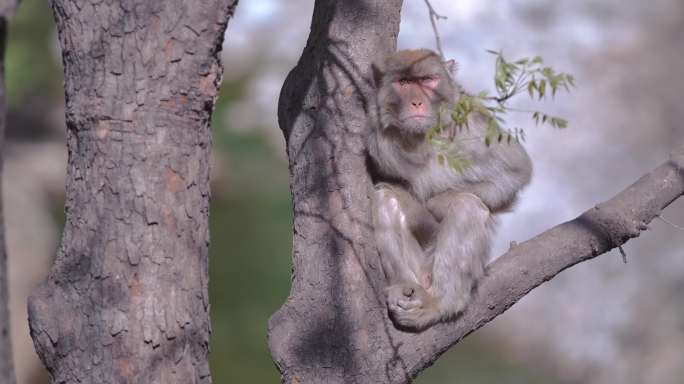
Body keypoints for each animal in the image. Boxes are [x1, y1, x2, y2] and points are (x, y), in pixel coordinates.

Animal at [368, 48, 536, 330]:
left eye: (427, 80)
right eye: (405, 82)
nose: (417, 102)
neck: (423, 137)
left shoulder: (473, 123)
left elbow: (515, 172)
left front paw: (439, 204)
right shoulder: (379, 138)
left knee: (467, 206)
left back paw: (440, 304)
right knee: (386, 198)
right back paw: (404, 287)